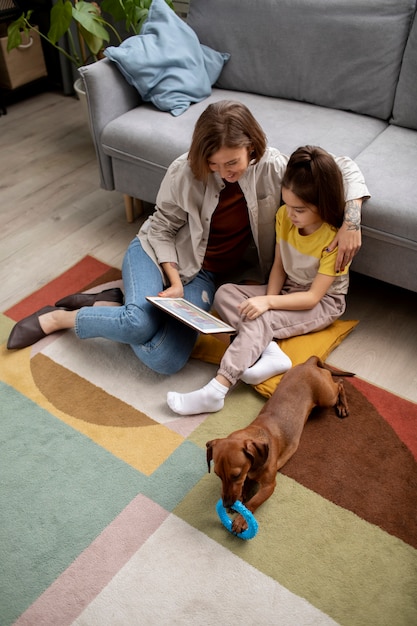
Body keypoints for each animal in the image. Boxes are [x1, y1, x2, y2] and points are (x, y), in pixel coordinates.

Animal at [205, 356, 352, 532]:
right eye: (218, 475)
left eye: (236, 475)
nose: (227, 504)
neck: (258, 432)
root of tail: (309, 363)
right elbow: (247, 484)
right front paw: (242, 495)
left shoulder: (269, 485)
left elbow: (254, 501)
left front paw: (242, 519)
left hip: (326, 397)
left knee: (340, 384)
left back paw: (342, 405)